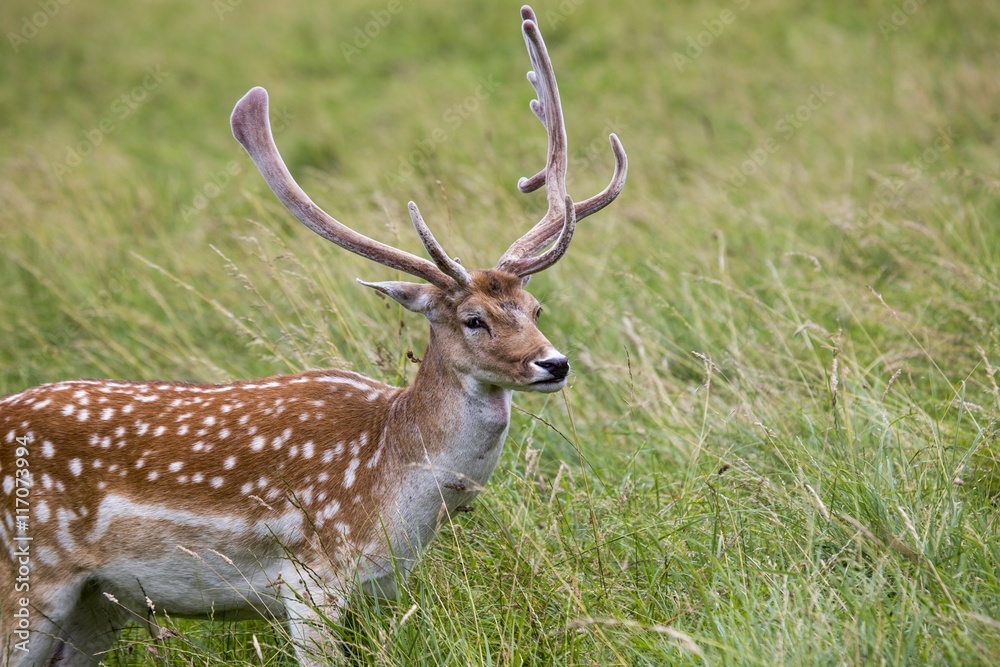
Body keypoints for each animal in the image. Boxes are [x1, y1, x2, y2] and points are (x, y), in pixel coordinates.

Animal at [0, 6, 624, 667]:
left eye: (534, 306)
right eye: (473, 318)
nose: (553, 363)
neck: (395, 492)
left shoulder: (376, 592)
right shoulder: (310, 583)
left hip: (98, 604)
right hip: (28, 577)